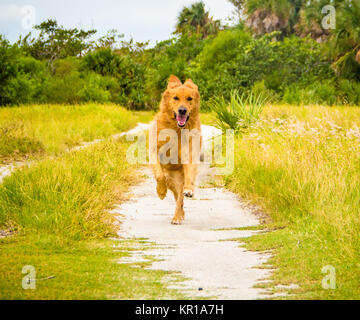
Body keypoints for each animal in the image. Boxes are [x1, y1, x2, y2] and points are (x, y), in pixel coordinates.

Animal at [148, 75, 201, 225]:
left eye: (189, 99)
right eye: (175, 98)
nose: (182, 110)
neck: (176, 130)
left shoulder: (189, 155)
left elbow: (189, 175)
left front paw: (189, 190)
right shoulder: (153, 152)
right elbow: (159, 175)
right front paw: (161, 192)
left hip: (178, 180)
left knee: (180, 198)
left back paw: (178, 216)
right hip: (171, 180)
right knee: (176, 194)